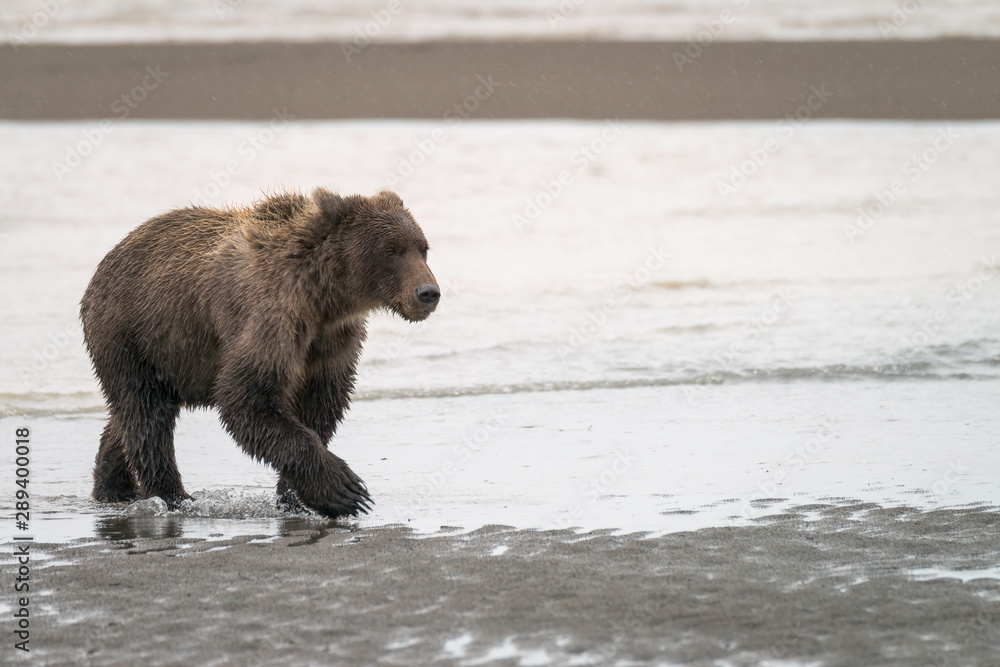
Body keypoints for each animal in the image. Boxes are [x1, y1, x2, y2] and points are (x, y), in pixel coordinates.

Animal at [80, 188, 439, 519]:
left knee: (129, 416)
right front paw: (345, 490)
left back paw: (113, 487)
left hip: (172, 359)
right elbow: (247, 397)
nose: (428, 293)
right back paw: (173, 497)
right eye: (391, 250)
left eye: (423, 248)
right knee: (146, 414)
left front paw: (295, 497)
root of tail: (109, 259)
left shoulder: (333, 340)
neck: (323, 298)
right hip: (131, 335)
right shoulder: (272, 318)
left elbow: (321, 403)